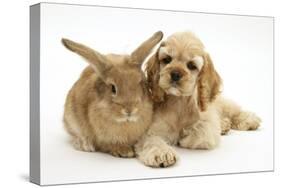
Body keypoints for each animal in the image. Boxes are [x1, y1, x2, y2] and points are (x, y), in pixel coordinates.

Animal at [135, 32, 260, 167]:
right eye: (167, 59)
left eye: (191, 65)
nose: (175, 74)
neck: (178, 102)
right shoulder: (150, 130)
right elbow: (152, 140)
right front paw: (162, 152)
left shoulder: (207, 125)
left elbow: (201, 132)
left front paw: (184, 137)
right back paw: (225, 124)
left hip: (218, 103)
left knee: (232, 109)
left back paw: (248, 120)